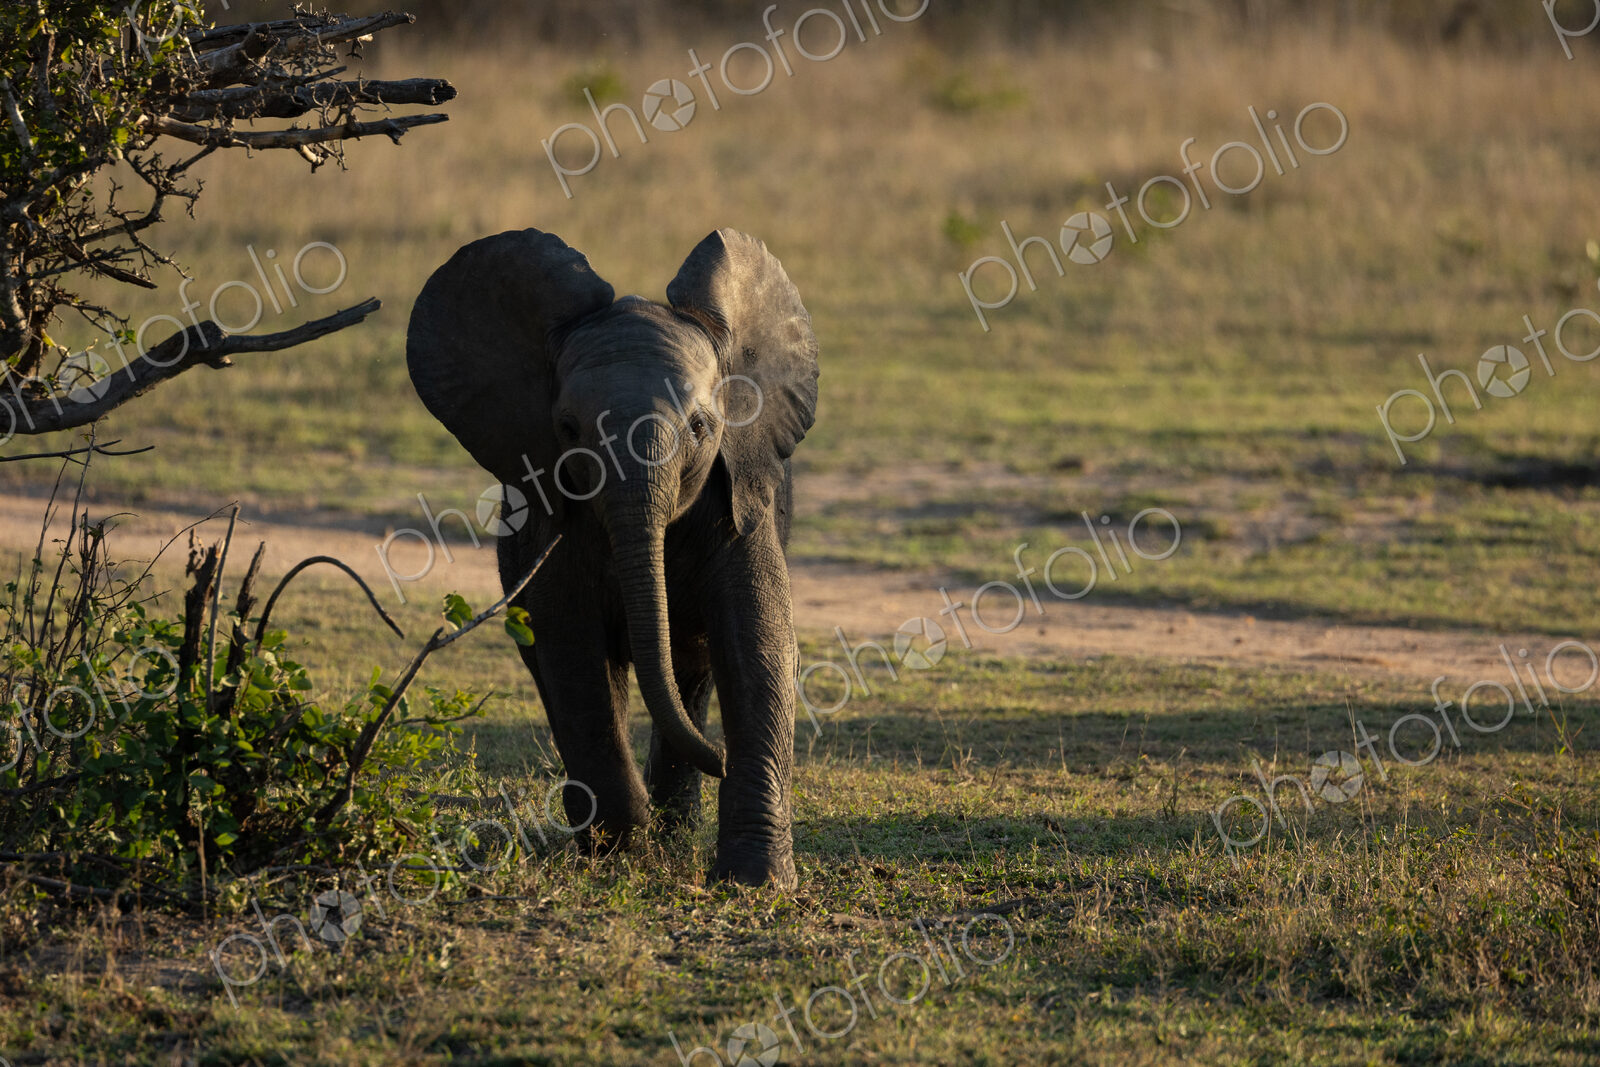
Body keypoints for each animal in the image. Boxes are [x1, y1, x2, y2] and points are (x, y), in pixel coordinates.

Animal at [405, 227, 818, 887]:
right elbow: (574, 653)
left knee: (690, 675)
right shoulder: (555, 528)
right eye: (569, 429)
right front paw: (620, 857)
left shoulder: (742, 507)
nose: (721, 762)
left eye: (701, 426)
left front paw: (754, 882)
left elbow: (758, 644)